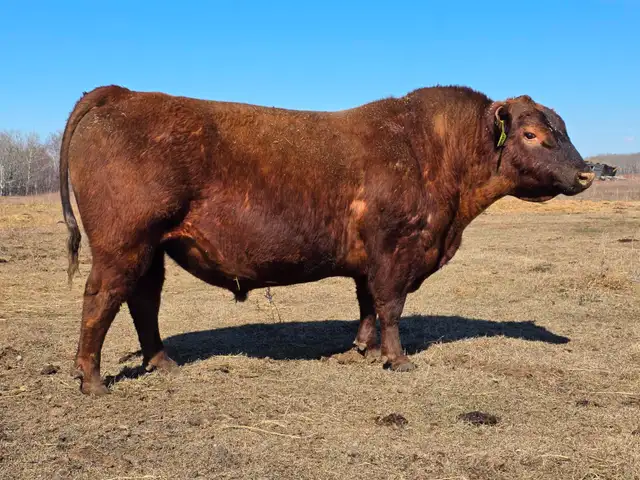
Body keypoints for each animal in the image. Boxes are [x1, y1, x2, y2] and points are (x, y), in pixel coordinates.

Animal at [60, 84, 594, 395]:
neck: (433, 150)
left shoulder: (368, 260)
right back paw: (92, 381)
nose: (587, 173)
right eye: (531, 134)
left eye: (563, 128)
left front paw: (364, 350)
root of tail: (121, 93)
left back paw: (163, 363)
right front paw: (398, 360)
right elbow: (391, 307)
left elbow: (368, 306)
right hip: (123, 245)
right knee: (100, 300)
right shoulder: (395, 251)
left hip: (151, 250)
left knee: (143, 303)